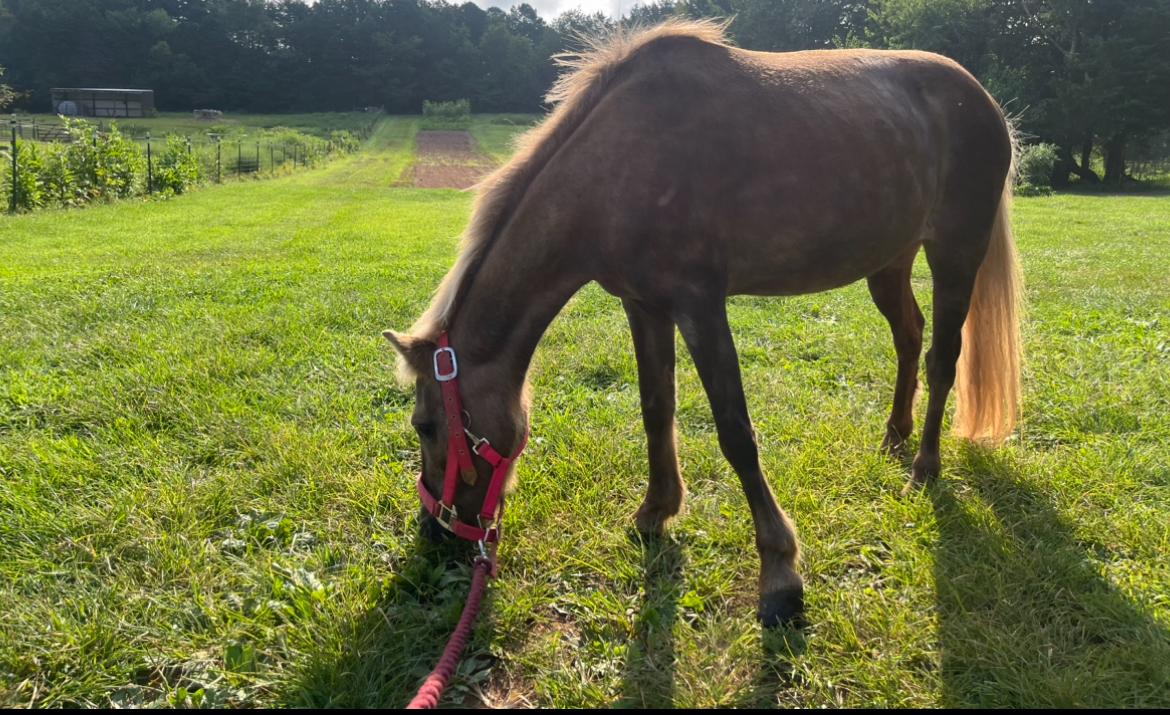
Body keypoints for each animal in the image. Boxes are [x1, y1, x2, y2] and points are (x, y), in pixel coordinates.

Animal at [384, 20, 1022, 627]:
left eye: (425, 425)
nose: (434, 533)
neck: (617, 165)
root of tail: (983, 99)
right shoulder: (644, 306)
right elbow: (655, 407)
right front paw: (655, 511)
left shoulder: (701, 305)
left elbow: (736, 432)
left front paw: (780, 573)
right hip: (888, 263)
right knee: (909, 337)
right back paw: (894, 434)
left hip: (956, 255)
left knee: (943, 359)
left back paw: (924, 467)